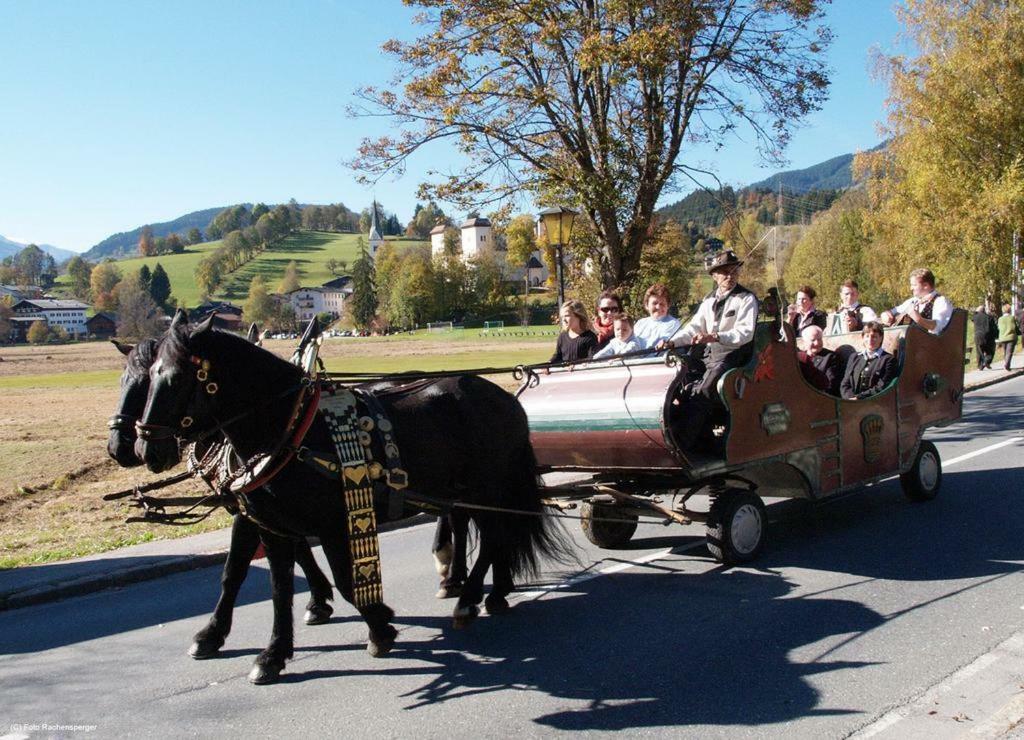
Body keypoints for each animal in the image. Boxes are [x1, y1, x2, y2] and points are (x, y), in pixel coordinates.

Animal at [107, 333, 335, 659]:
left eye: (144, 385)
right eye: (122, 380)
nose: (121, 448)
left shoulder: (251, 509)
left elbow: (237, 568)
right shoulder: (261, 506)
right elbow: (283, 552)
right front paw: (318, 598)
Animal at [135, 311, 569, 683]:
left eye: (176, 377)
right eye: (150, 376)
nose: (145, 448)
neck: (289, 427)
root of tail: (506, 397)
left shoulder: (331, 524)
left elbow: (344, 580)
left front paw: (379, 625)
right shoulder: (272, 526)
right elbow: (271, 587)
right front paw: (272, 653)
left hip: (489, 487)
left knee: (495, 536)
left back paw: (469, 597)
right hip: (473, 491)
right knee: (495, 535)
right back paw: (489, 592)